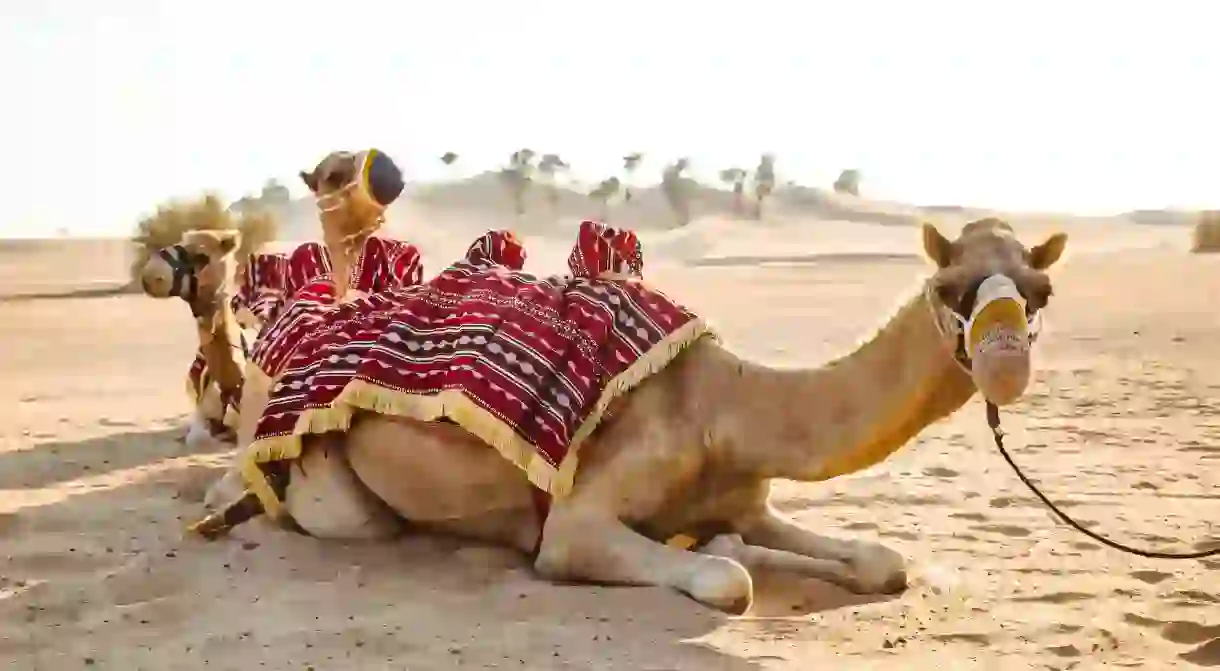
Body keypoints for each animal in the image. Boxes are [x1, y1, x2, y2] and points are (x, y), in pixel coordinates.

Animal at [195, 179, 1063, 614]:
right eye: (950, 286)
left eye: (1040, 289)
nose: (1006, 366)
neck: (721, 407)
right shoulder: (574, 527)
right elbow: (726, 577)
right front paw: (719, 557)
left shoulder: (747, 497)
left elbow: (879, 561)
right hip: (322, 477)